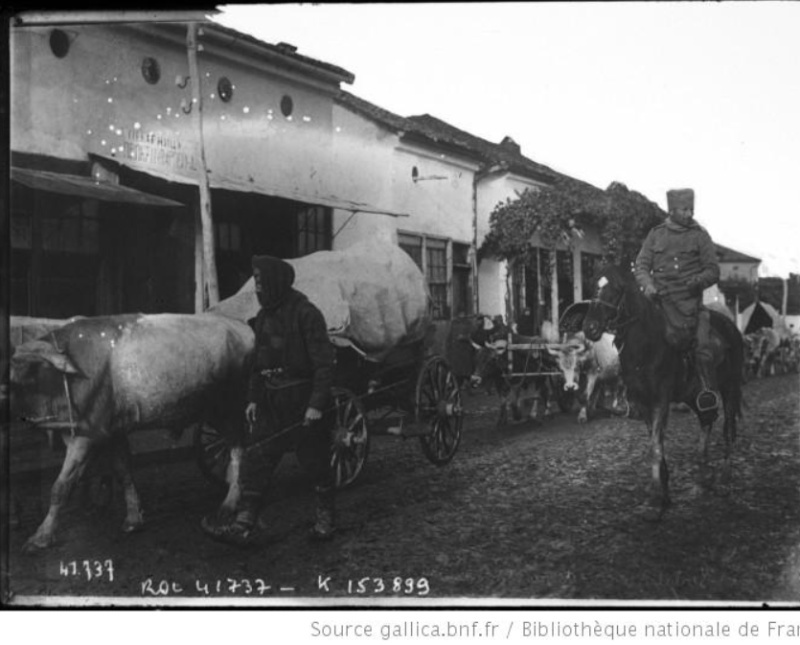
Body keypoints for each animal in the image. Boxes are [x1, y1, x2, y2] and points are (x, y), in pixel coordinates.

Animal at [580, 262, 744, 520]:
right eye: (591, 286)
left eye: (615, 289)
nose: (590, 327)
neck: (646, 345)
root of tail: (730, 326)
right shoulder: (643, 403)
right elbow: (656, 446)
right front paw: (663, 494)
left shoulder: (660, 400)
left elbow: (655, 448)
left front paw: (656, 501)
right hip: (694, 394)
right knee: (707, 418)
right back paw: (703, 473)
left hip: (729, 388)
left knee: (727, 429)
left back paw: (725, 479)